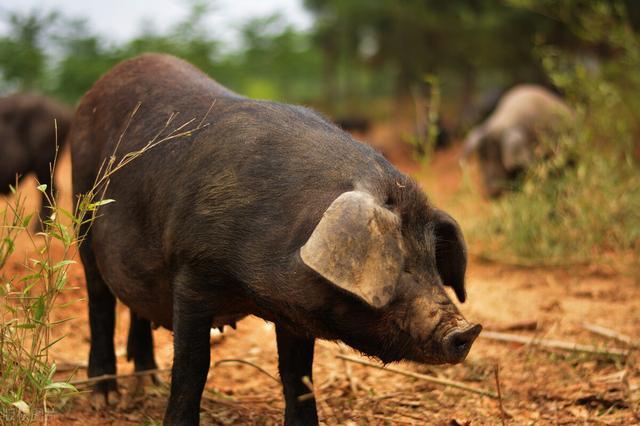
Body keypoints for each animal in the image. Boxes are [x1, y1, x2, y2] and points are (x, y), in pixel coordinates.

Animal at [69, 54, 480, 426]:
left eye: (431, 263)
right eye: (400, 264)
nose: (466, 330)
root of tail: (96, 88)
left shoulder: (296, 311)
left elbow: (298, 376)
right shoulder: (191, 272)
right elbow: (193, 365)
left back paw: (147, 384)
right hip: (82, 209)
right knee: (100, 301)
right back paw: (104, 397)